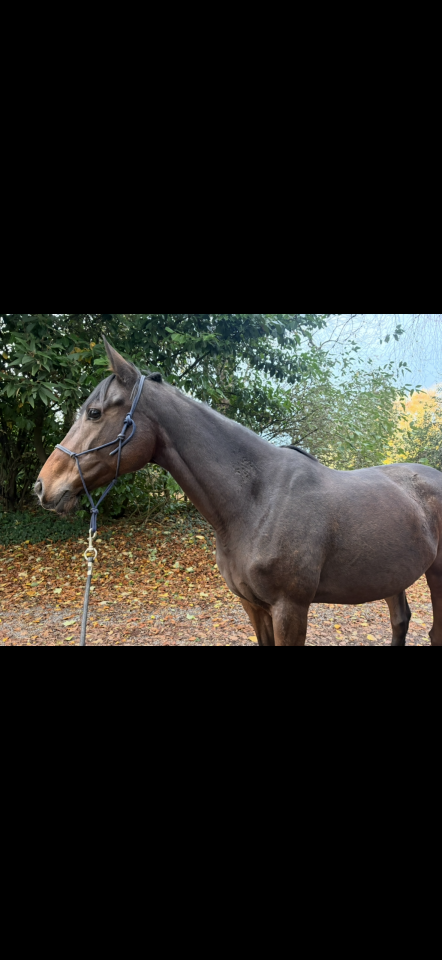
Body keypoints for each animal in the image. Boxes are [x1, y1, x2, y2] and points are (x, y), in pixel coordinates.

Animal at [34, 339, 442, 646]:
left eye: (95, 413)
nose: (42, 486)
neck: (256, 502)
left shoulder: (290, 609)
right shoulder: (253, 606)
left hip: (435, 572)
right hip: (392, 575)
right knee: (400, 621)